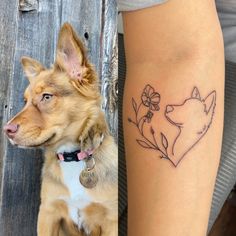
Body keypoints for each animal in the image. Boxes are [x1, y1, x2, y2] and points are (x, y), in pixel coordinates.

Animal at [3, 22, 118, 236]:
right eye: (25, 101)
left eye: (47, 97)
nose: (6, 130)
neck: (72, 157)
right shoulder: (48, 213)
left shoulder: (110, 220)